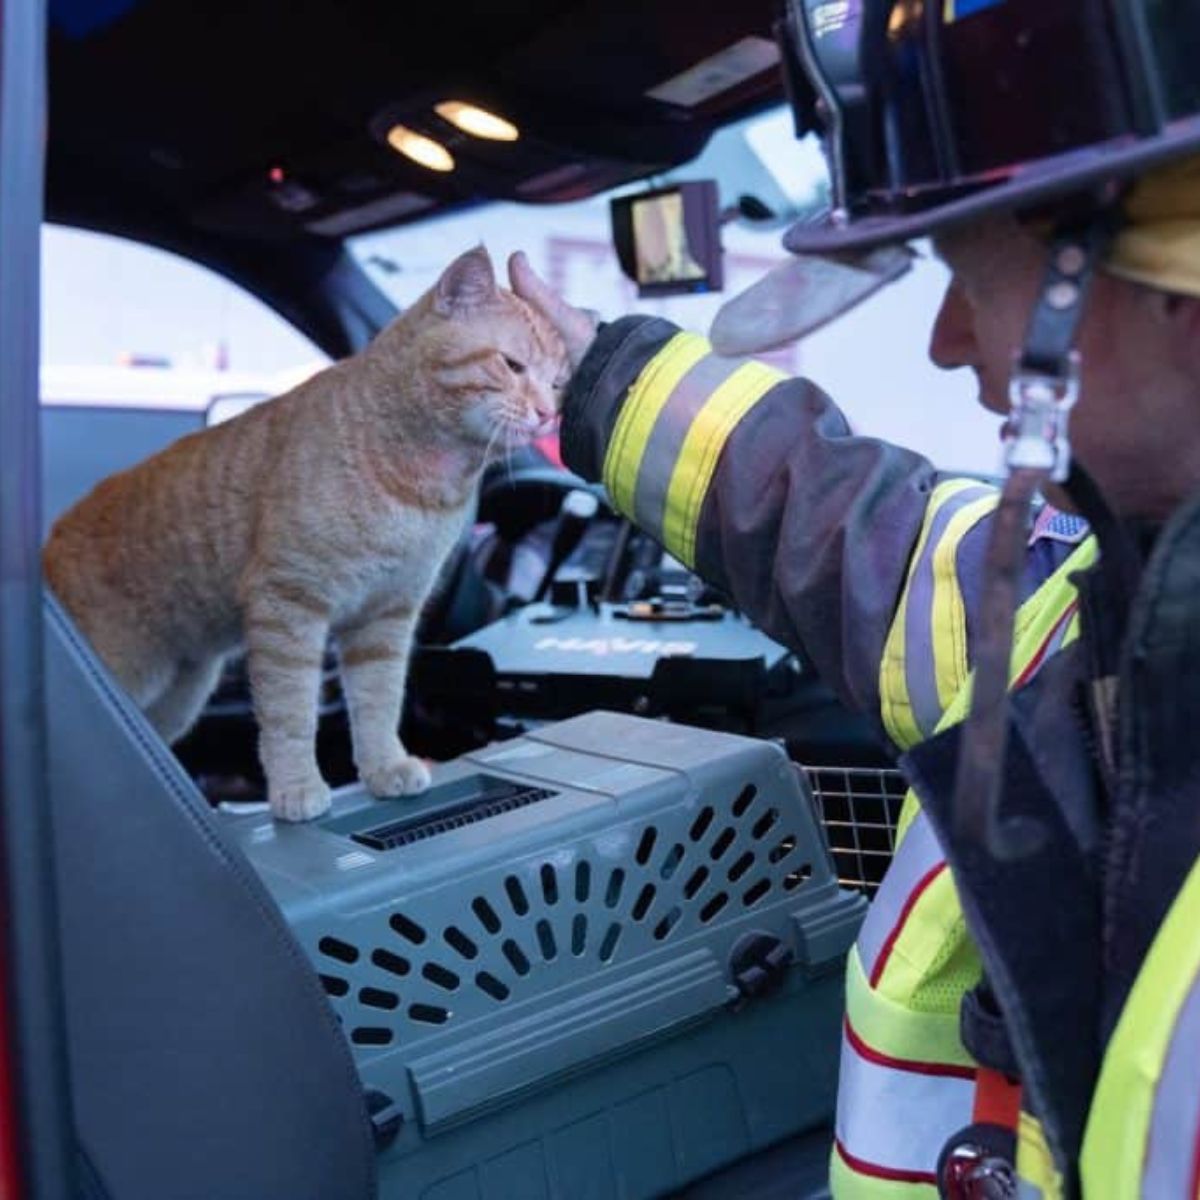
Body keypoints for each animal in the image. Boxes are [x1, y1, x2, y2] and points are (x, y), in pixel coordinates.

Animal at [45, 248, 566, 820]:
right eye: (512, 366)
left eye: (557, 383)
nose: (549, 414)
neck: (421, 482)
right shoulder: (289, 605)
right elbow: (291, 712)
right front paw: (296, 787)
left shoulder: (386, 615)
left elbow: (379, 699)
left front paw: (384, 767)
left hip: (181, 696)